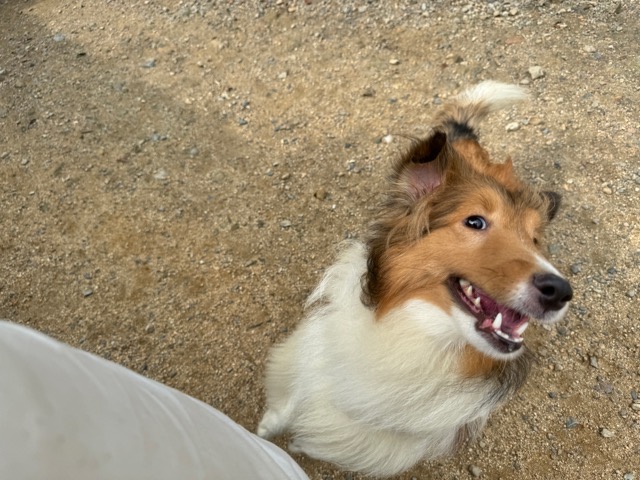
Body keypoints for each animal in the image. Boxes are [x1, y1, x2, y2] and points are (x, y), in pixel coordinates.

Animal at [257, 81, 573, 477]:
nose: (560, 291)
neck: (420, 332)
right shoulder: (307, 360)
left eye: (535, 240)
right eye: (475, 221)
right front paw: (264, 429)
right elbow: (285, 405)